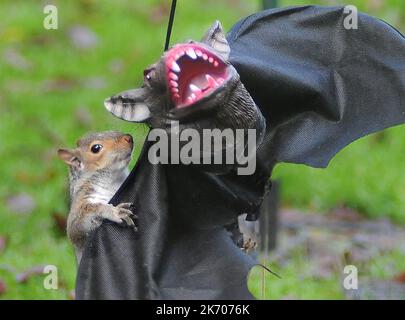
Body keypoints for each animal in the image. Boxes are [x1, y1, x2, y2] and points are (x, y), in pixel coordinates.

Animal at [57, 130, 136, 262]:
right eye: (95, 148)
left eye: (111, 131)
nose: (129, 138)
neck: (113, 180)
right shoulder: (81, 199)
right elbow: (77, 224)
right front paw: (115, 212)